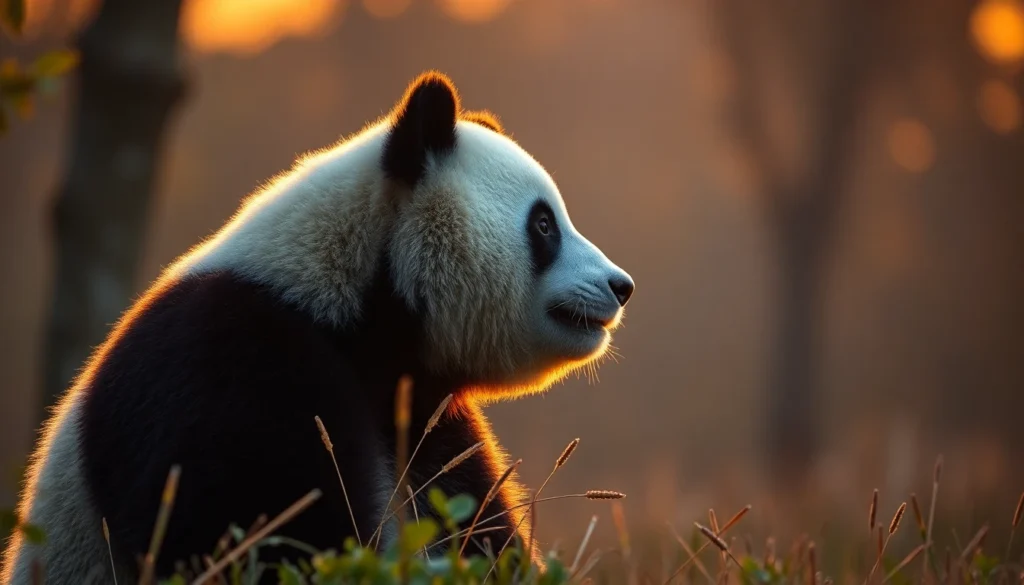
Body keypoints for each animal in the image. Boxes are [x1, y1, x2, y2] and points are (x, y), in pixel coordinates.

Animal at [1, 71, 634, 584]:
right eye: (544, 224)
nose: (620, 285)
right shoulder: (234, 360)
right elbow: (251, 522)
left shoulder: (424, 415)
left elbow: (471, 515)